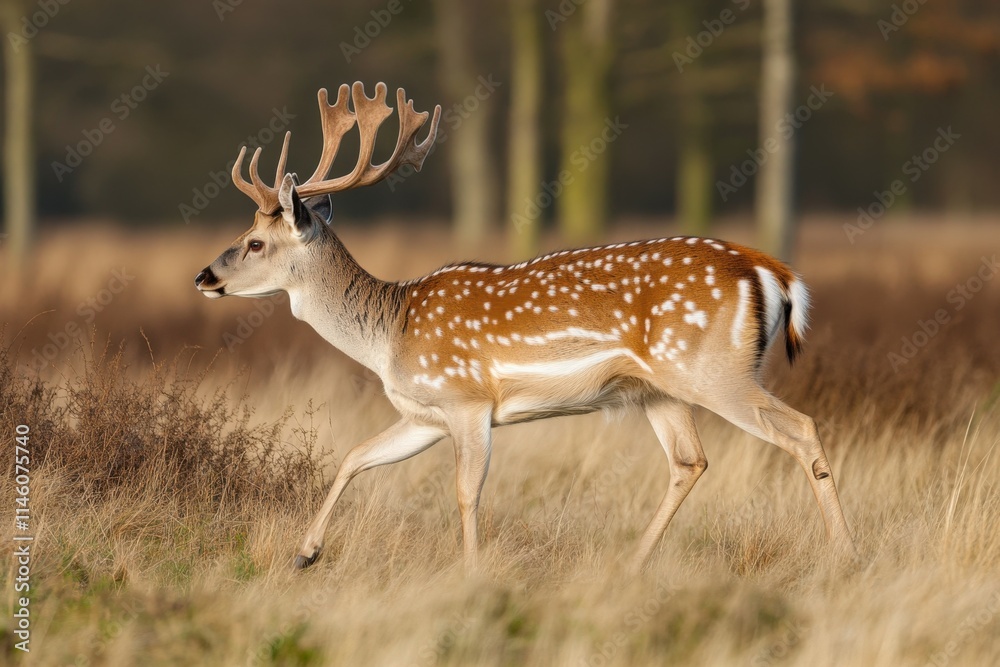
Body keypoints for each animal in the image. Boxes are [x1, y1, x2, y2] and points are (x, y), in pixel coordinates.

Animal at [195, 81, 857, 573]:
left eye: (254, 242)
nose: (204, 276)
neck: (389, 334)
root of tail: (772, 270)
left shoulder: (466, 398)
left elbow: (466, 490)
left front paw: (470, 573)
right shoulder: (425, 413)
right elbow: (355, 455)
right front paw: (304, 554)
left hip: (712, 368)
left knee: (802, 429)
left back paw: (844, 555)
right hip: (661, 390)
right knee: (690, 461)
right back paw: (631, 565)